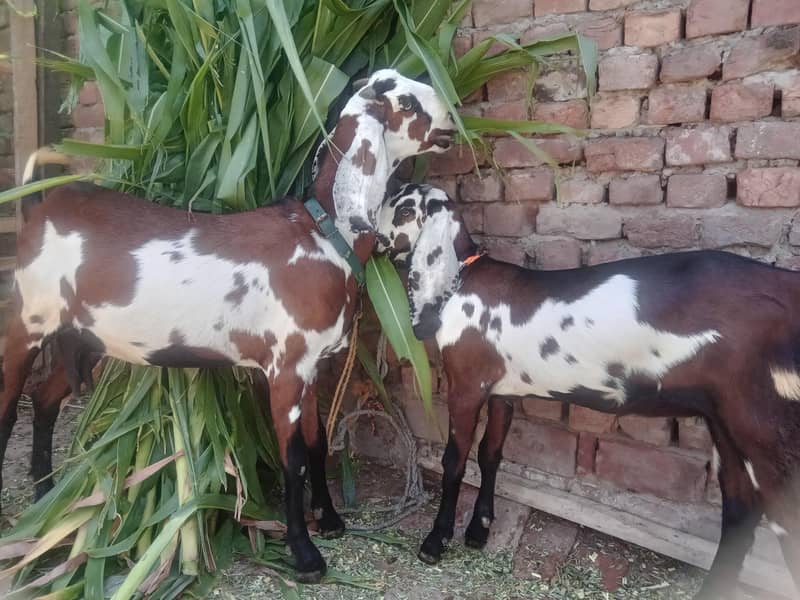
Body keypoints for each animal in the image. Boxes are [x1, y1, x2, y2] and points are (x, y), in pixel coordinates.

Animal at [0, 71, 455, 583]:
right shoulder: (285, 367)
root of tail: (39, 206)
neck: (323, 234)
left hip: (84, 334)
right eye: (407, 101)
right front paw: (306, 555)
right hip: (28, 320)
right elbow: (292, 458)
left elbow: (318, 442)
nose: (452, 114)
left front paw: (330, 520)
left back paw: (45, 497)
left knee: (44, 399)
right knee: (8, 408)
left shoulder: (312, 365)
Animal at [377, 183, 800, 599]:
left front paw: (435, 541)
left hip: (767, 429)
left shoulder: (466, 385)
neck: (465, 278)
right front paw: (479, 530)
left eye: (403, 210)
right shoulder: (502, 391)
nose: (372, 236)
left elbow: (455, 461)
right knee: (740, 510)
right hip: (727, 421)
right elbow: (490, 453)